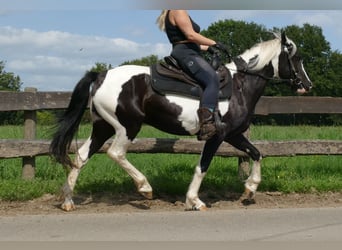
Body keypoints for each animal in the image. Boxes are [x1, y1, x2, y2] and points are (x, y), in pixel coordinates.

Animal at [50, 31, 312, 211]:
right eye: (296, 57)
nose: (307, 85)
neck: (240, 86)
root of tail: (101, 75)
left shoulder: (234, 135)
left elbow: (256, 153)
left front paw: (249, 189)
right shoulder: (217, 135)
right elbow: (203, 166)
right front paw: (194, 200)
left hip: (102, 127)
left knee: (81, 156)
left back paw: (68, 201)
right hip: (127, 127)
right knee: (115, 153)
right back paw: (145, 188)